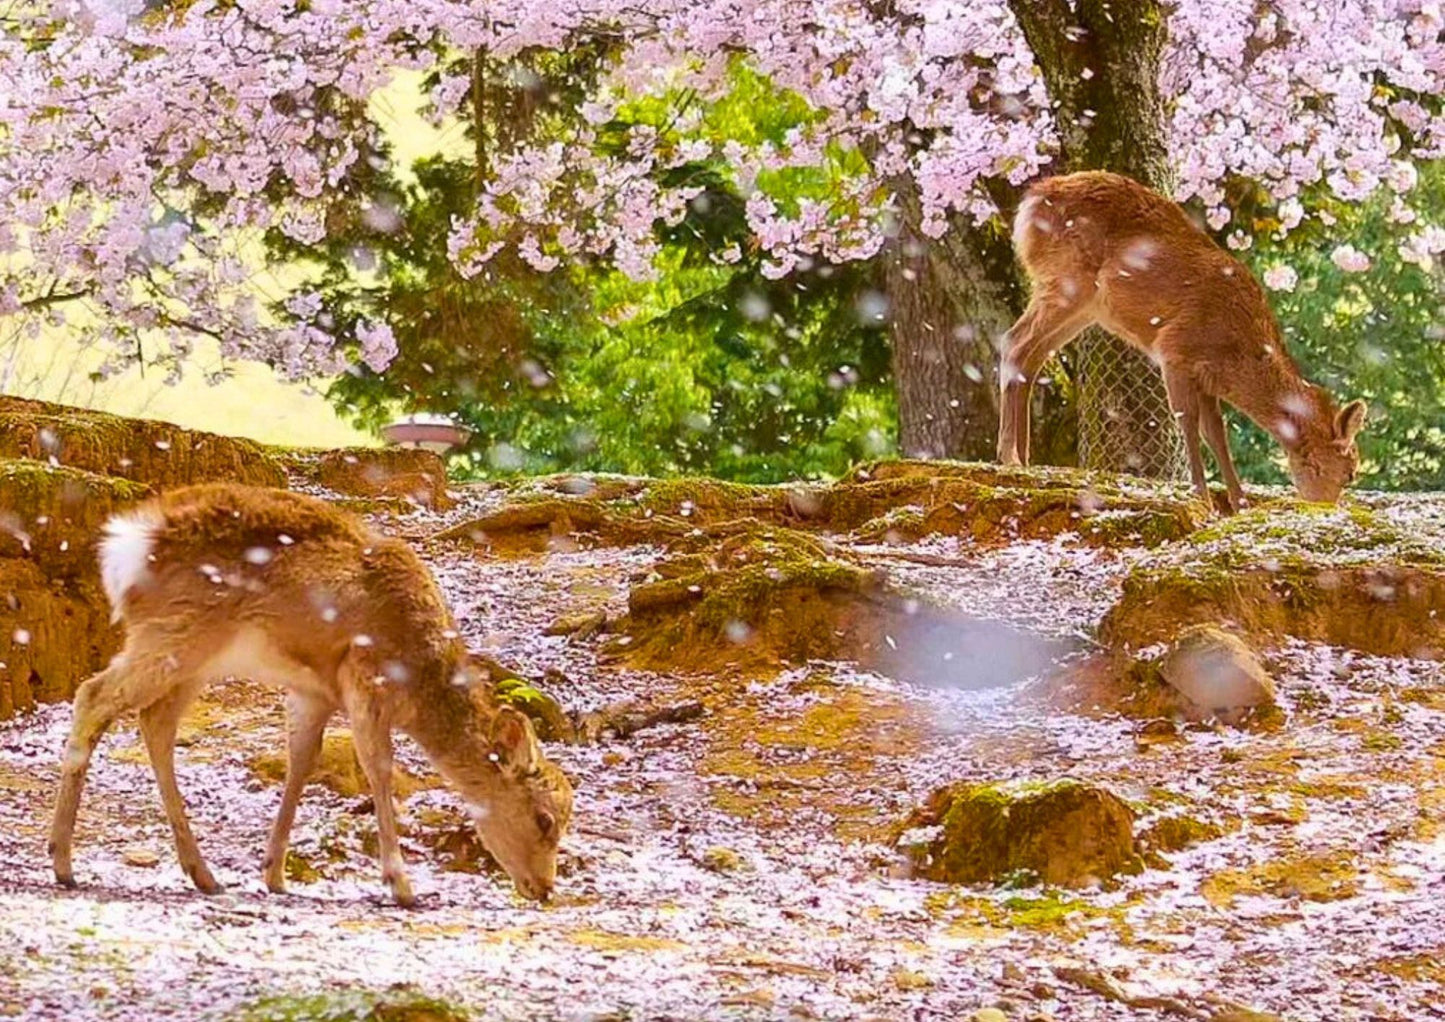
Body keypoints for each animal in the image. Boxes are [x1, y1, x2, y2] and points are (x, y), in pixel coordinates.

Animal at [50, 482, 569, 907]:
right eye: (545, 819)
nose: (545, 888)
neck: (420, 680)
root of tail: (125, 543)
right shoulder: (365, 677)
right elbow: (378, 768)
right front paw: (401, 885)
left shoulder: (313, 692)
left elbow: (301, 762)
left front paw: (274, 874)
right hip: (174, 634)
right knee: (92, 695)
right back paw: (63, 862)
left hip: (193, 658)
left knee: (155, 722)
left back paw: (203, 874)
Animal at [994, 172, 1364, 514]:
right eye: (1350, 472)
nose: (1326, 508)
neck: (1237, 355)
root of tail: (1029, 203)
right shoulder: (1175, 349)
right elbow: (1187, 420)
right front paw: (1203, 496)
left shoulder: (1208, 378)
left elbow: (1215, 432)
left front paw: (1239, 503)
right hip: (1066, 279)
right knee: (1014, 342)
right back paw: (1009, 456)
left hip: (1084, 306)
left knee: (1033, 356)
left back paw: (1025, 459)